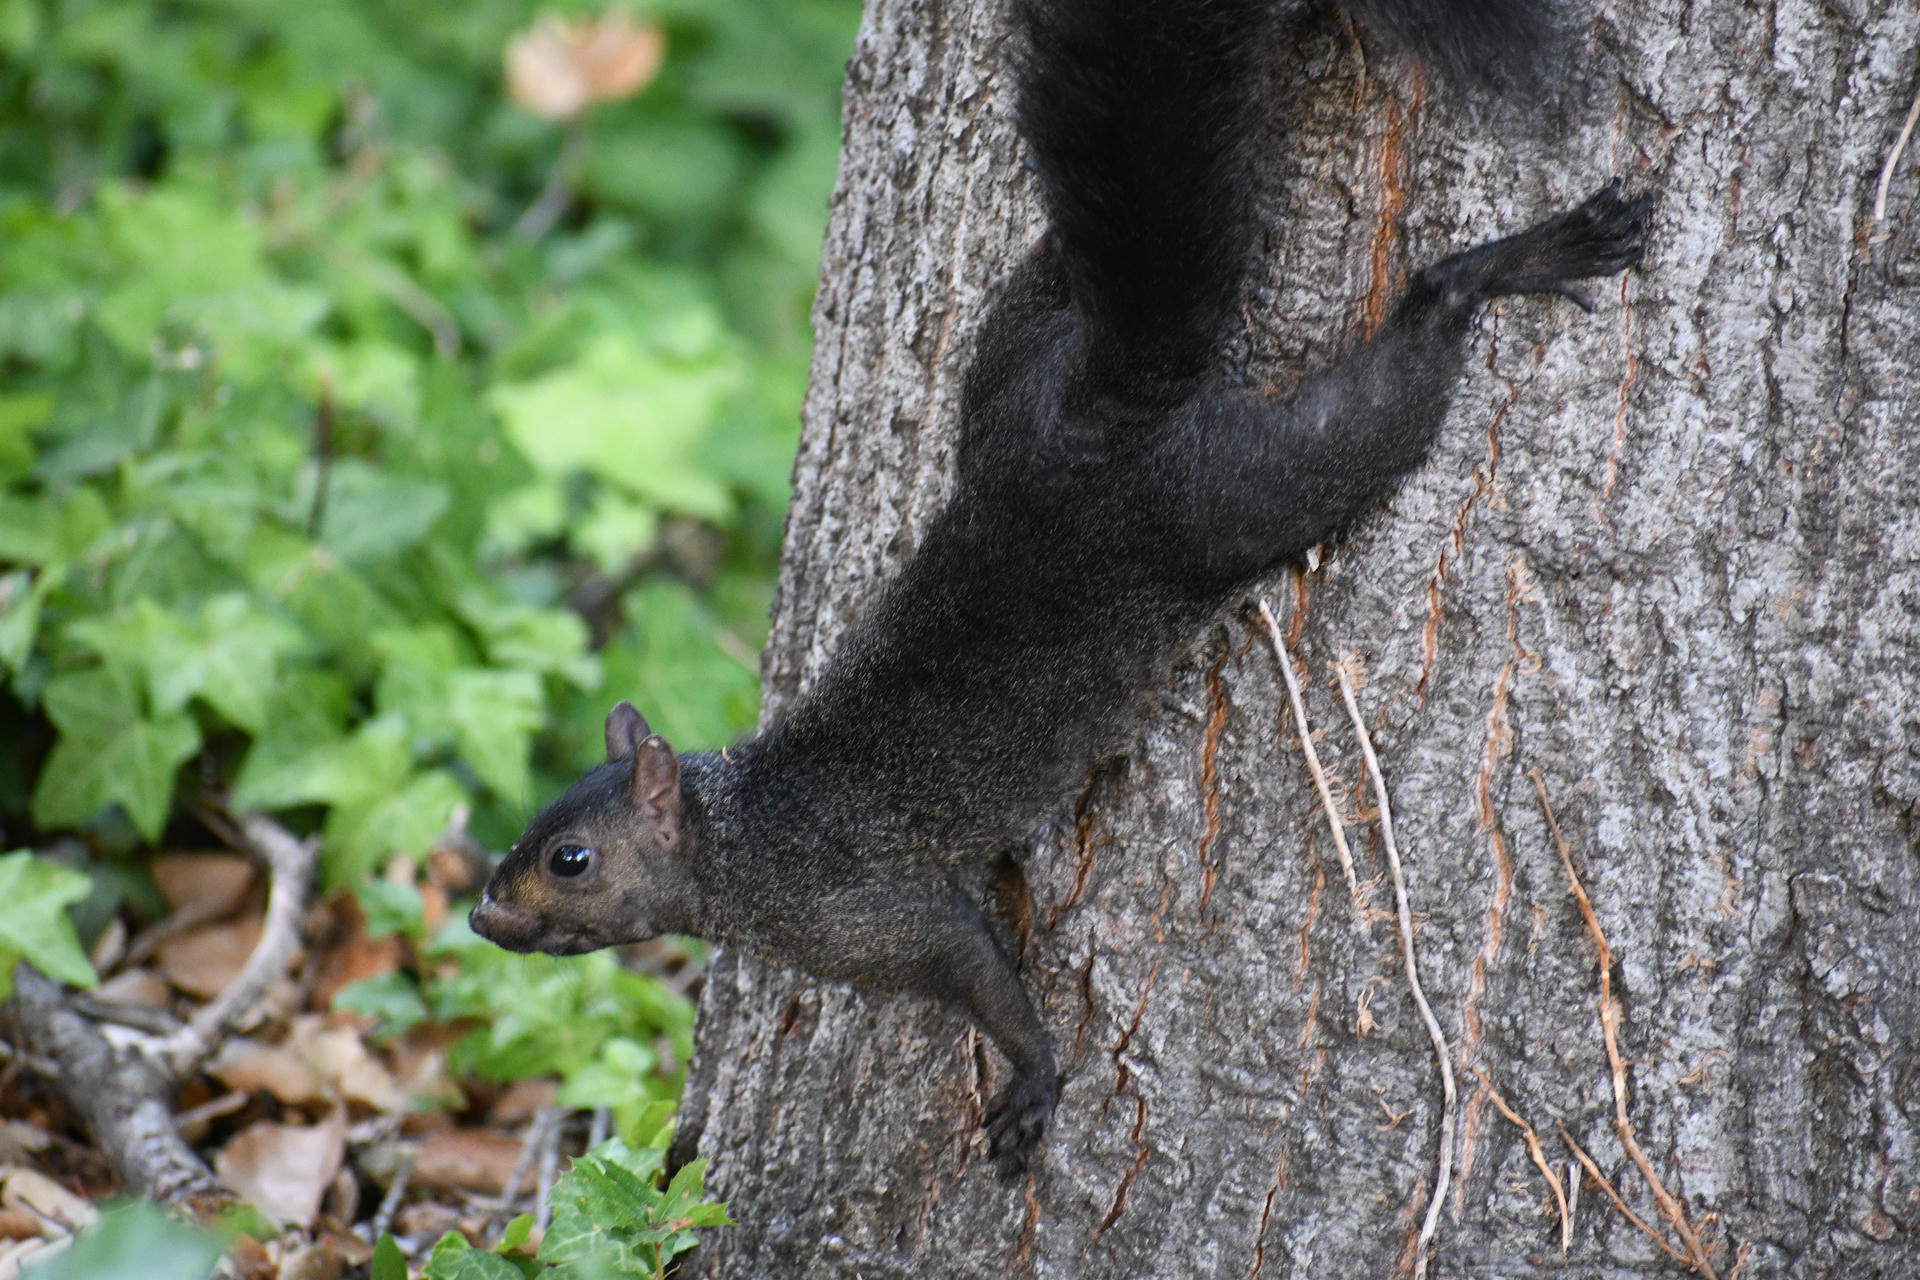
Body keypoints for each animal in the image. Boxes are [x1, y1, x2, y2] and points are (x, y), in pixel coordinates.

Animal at [470, 0, 1652, 1179]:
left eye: (571, 860)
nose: (483, 914)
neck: (746, 838)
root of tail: (1095, 409)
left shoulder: (875, 915)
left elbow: (985, 980)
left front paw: (1033, 1083)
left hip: (1229, 499)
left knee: (1398, 364)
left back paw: (1520, 260)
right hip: (1007, 369)